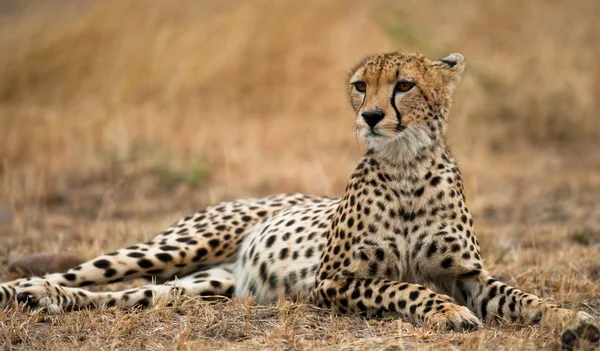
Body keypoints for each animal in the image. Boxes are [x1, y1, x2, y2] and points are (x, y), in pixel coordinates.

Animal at [0, 51, 596, 332]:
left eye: (404, 84)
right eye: (361, 85)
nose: (371, 116)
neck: (405, 165)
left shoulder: (468, 275)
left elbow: (521, 297)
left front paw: (573, 321)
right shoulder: (332, 282)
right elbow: (404, 288)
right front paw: (447, 314)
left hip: (204, 286)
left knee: (119, 297)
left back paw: (47, 299)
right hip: (177, 245)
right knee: (82, 270)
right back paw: (26, 288)